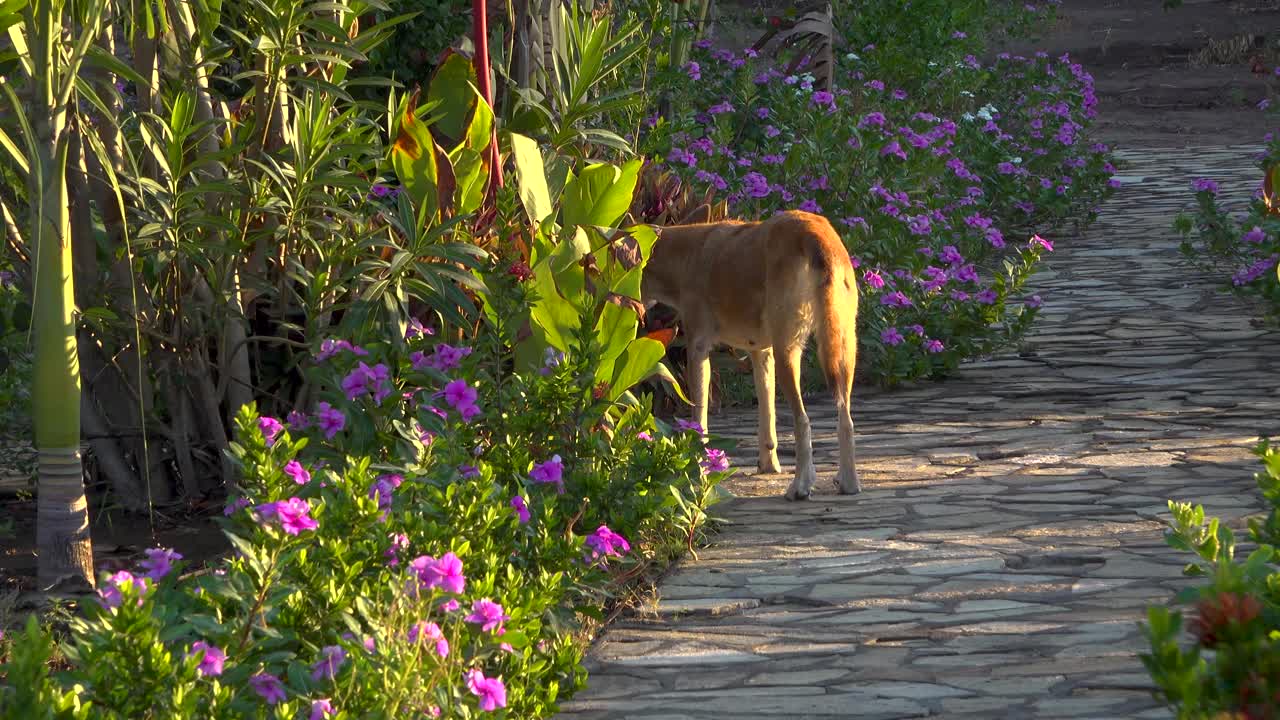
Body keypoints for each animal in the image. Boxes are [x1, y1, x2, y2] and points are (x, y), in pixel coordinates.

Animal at [640, 207, 860, 499]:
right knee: (846, 420)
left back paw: (800, 487)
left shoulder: (698, 349)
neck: (687, 257)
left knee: (803, 422)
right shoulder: (762, 353)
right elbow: (767, 420)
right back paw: (848, 483)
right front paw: (769, 465)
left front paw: (698, 467)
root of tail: (815, 234)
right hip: (842, 349)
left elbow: (699, 419)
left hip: (788, 352)